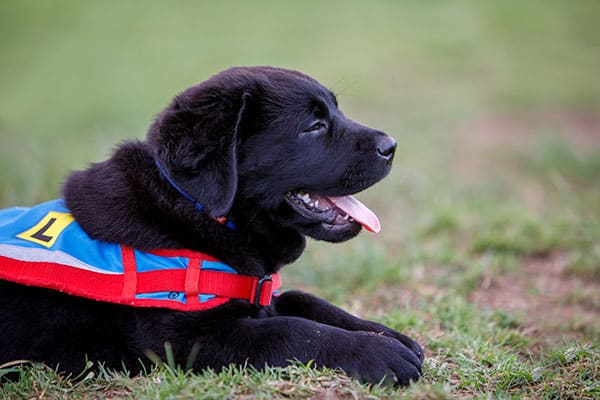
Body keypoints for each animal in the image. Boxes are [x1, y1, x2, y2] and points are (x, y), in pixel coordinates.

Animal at [0, 67, 422, 386]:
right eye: (314, 125)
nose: (392, 146)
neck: (196, 208)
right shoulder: (184, 340)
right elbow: (292, 330)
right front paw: (377, 351)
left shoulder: (257, 291)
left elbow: (306, 301)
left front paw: (385, 333)